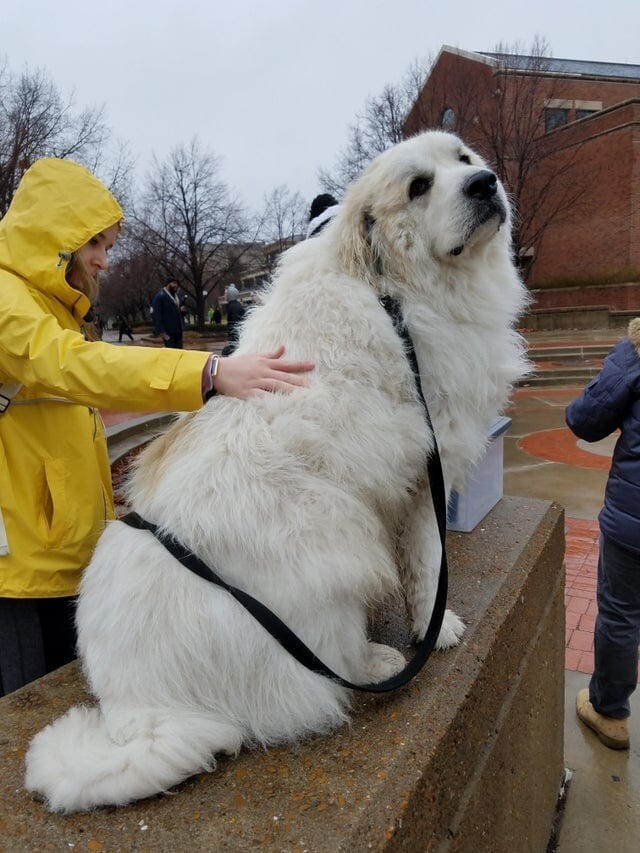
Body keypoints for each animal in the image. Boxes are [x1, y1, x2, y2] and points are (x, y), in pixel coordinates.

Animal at [25, 130, 528, 808]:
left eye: (465, 161)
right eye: (419, 187)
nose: (485, 184)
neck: (394, 291)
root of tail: (143, 710)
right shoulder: (428, 470)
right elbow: (428, 563)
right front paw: (436, 628)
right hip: (332, 537)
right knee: (324, 678)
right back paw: (379, 661)